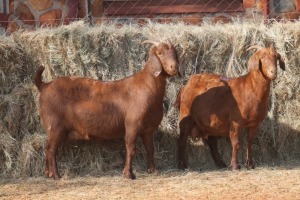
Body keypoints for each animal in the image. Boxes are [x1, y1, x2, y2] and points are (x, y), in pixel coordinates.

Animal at [35, 39, 180, 179]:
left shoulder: (148, 130)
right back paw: (56, 175)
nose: (174, 67)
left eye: (175, 52)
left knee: (48, 149)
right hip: (55, 126)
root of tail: (44, 85)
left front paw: (153, 171)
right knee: (51, 150)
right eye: (160, 53)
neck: (146, 86)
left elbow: (150, 149)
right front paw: (128, 174)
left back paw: (48, 173)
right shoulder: (132, 125)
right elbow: (131, 149)